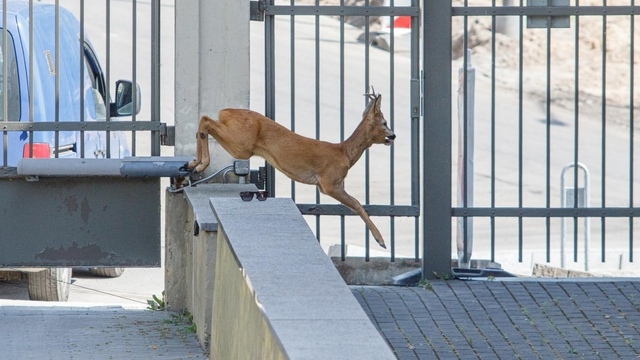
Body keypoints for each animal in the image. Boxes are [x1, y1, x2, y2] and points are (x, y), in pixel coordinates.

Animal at [186, 90, 396, 249]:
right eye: (385, 123)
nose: (393, 136)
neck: (344, 153)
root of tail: (225, 112)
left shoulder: (331, 184)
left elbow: (355, 205)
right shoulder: (329, 183)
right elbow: (357, 205)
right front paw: (381, 240)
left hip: (240, 144)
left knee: (204, 123)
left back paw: (193, 164)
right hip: (242, 144)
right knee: (205, 120)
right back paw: (200, 164)